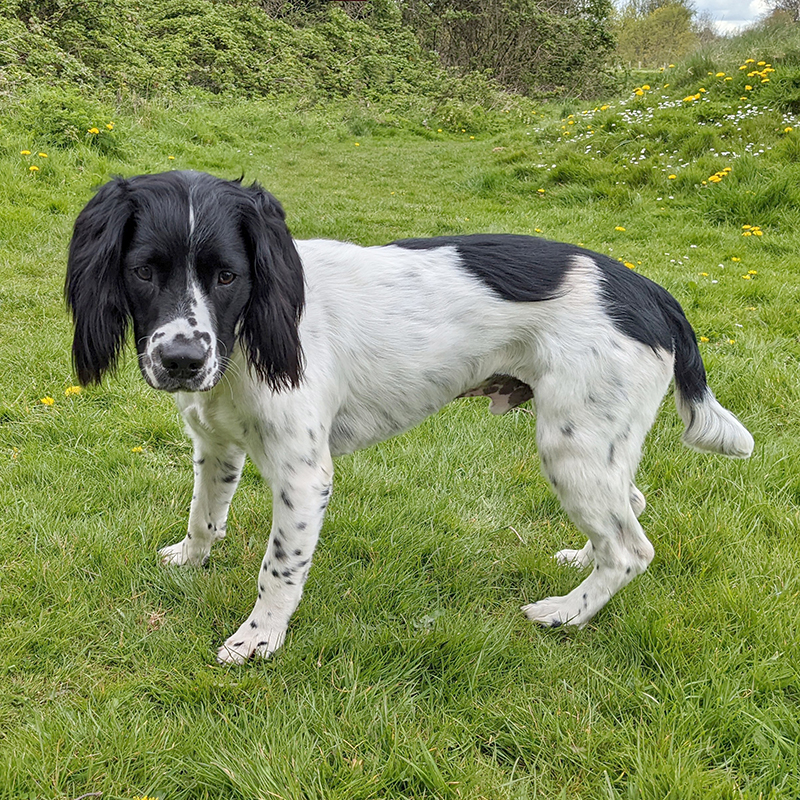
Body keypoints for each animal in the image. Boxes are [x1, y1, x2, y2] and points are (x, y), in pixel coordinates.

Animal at [65, 170, 752, 664]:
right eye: (143, 270)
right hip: (598, 446)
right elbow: (204, 518)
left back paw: (564, 613)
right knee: (628, 507)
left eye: (228, 276)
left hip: (571, 447)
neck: (251, 332)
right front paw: (190, 559)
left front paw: (260, 637)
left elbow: (278, 567)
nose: (181, 360)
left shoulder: (303, 475)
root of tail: (653, 293)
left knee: (632, 549)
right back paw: (580, 562)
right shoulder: (216, 445)